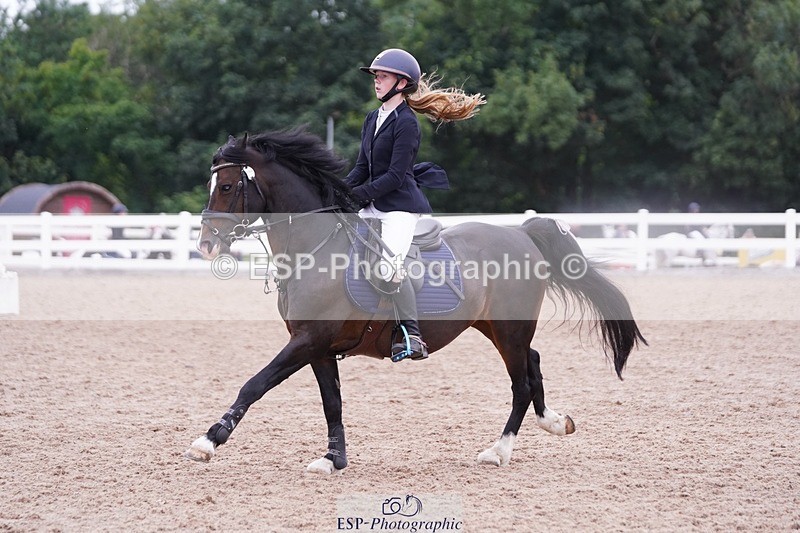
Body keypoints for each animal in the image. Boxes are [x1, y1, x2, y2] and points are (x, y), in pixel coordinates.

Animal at [184, 129, 647, 473]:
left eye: (228, 186)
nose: (206, 244)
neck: (314, 249)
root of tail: (521, 233)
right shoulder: (317, 346)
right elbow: (332, 401)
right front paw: (334, 459)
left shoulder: (308, 340)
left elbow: (255, 383)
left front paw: (209, 440)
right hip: (496, 328)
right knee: (532, 365)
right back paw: (555, 422)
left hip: (510, 329)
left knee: (520, 382)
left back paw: (498, 451)